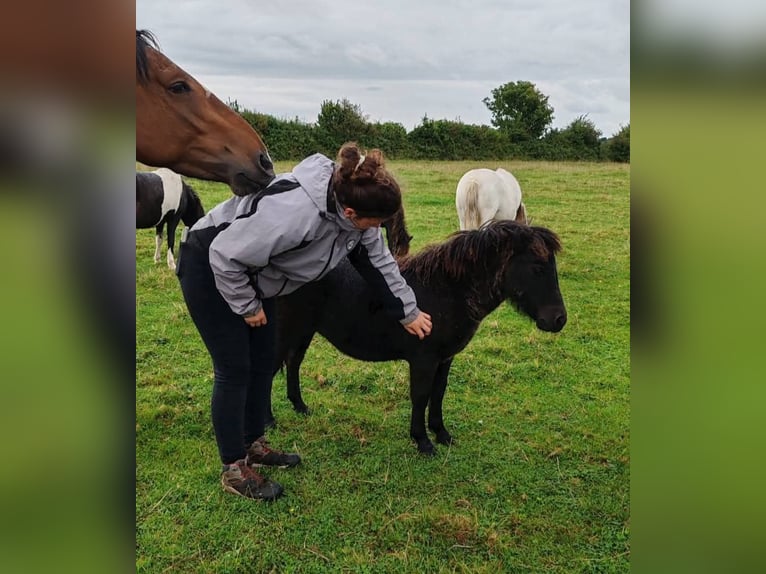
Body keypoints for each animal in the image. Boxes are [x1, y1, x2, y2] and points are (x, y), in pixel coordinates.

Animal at [268, 223, 564, 456]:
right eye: (537, 268)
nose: (559, 320)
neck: (447, 291)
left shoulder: (445, 359)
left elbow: (438, 392)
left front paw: (441, 434)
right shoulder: (424, 360)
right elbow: (420, 395)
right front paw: (422, 441)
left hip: (304, 331)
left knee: (293, 363)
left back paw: (300, 407)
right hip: (287, 331)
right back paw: (269, 422)